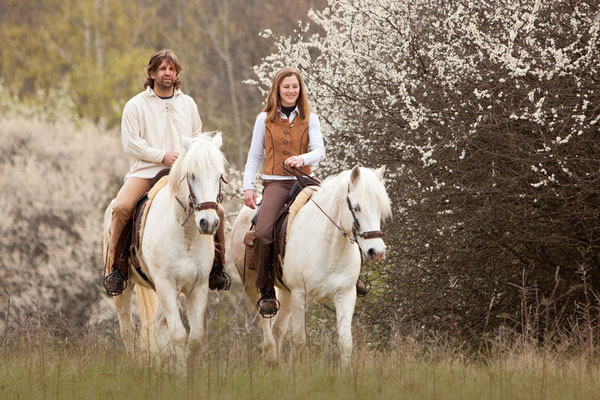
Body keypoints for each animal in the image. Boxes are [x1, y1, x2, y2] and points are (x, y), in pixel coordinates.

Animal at [102, 134, 226, 376]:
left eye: (219, 176)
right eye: (193, 175)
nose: (208, 223)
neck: (186, 234)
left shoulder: (197, 287)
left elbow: (195, 337)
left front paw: (184, 370)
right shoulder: (166, 284)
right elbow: (178, 334)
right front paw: (181, 375)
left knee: (157, 323)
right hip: (126, 288)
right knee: (128, 329)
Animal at [232, 164, 392, 368]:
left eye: (380, 208)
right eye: (356, 207)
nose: (376, 251)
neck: (328, 247)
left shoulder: (346, 295)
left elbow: (345, 342)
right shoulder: (300, 294)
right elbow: (299, 340)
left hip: (286, 293)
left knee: (278, 329)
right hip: (252, 286)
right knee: (267, 327)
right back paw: (272, 358)